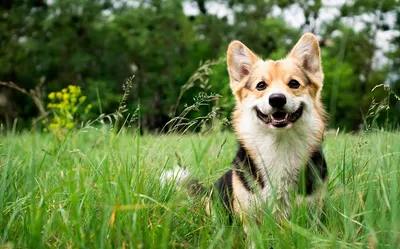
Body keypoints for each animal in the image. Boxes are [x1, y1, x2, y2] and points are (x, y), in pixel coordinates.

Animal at [162, 34, 328, 227]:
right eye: (261, 85)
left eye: (294, 83)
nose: (277, 99)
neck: (278, 144)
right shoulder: (249, 219)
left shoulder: (313, 215)